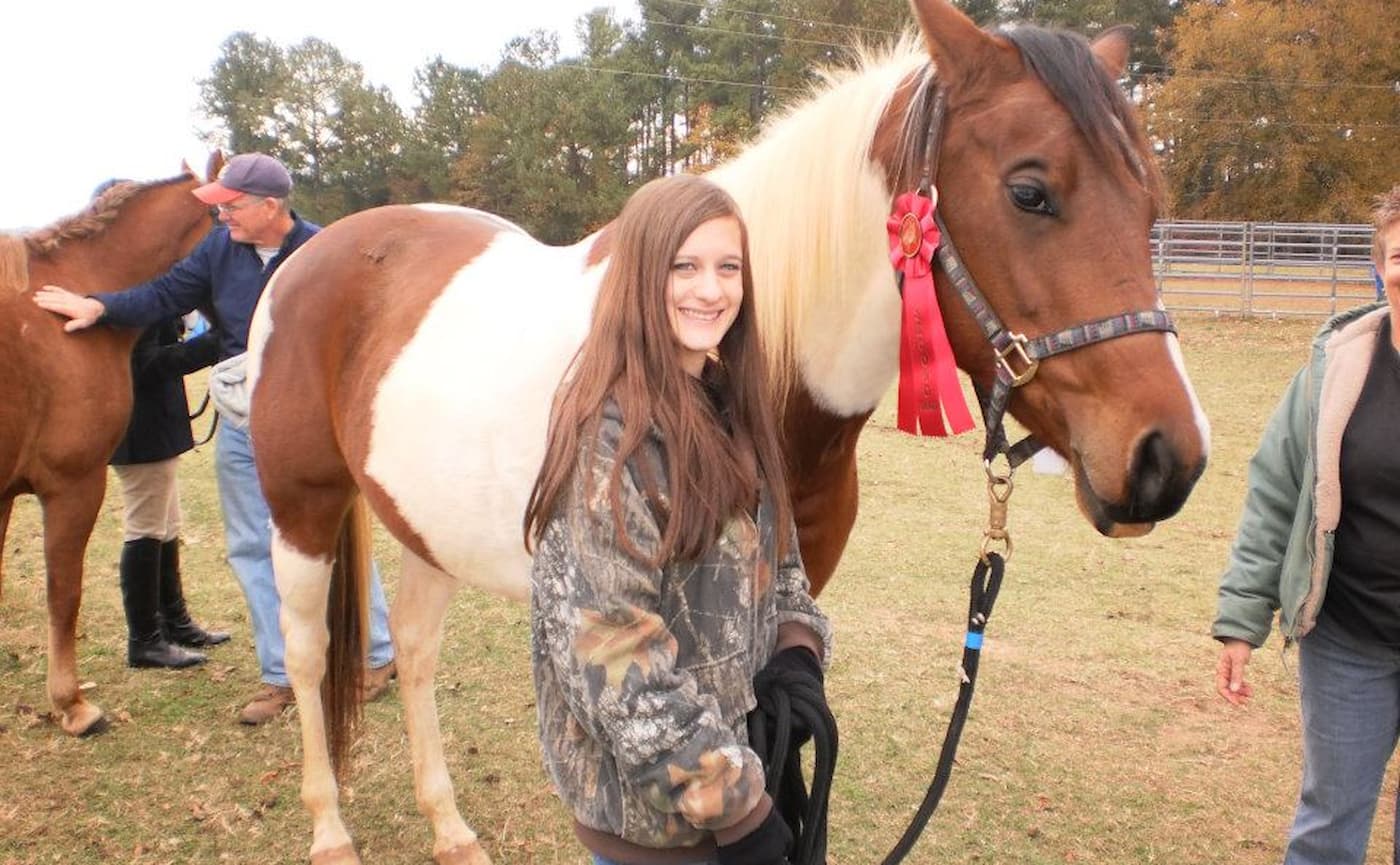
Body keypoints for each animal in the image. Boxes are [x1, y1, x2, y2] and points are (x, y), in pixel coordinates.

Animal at [246, 1, 1209, 862]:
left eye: (1150, 204)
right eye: (1029, 191)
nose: (1170, 460)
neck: (735, 378)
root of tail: (310, 257)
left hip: (425, 527)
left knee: (413, 651)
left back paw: (449, 830)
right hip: (302, 510)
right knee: (306, 655)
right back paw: (330, 832)